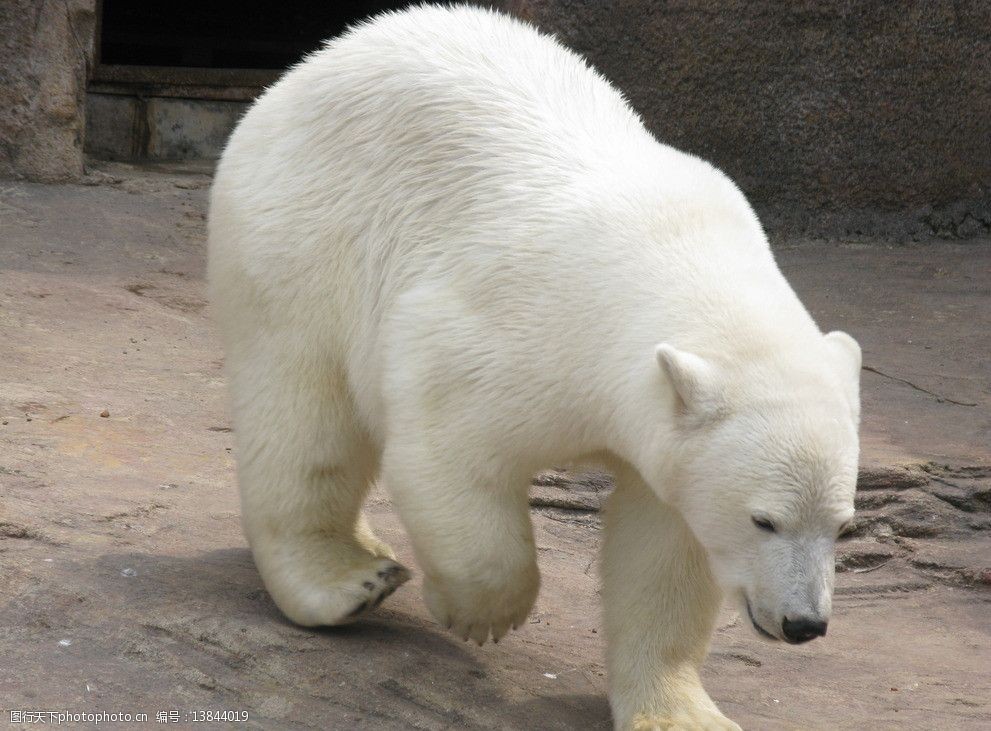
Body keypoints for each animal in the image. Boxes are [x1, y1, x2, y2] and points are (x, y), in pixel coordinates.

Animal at [207, 4, 860, 728]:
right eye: (764, 519)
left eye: (843, 526)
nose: (803, 623)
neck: (674, 257)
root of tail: (305, 69)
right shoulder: (522, 326)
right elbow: (447, 445)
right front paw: (478, 613)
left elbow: (665, 548)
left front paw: (682, 712)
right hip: (302, 240)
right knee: (304, 416)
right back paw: (347, 579)